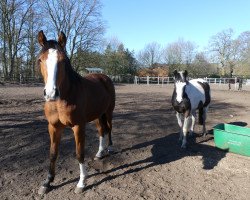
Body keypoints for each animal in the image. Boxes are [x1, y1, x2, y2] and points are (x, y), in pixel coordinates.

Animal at [36, 30, 115, 195]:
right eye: (40, 60)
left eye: (63, 61)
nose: (51, 93)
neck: (62, 99)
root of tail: (104, 77)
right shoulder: (53, 127)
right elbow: (53, 153)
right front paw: (47, 182)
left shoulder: (78, 126)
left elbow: (79, 153)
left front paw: (81, 182)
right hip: (97, 115)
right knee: (102, 130)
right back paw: (99, 153)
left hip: (108, 111)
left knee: (109, 128)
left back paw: (110, 148)